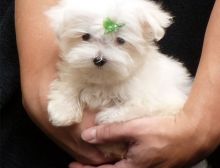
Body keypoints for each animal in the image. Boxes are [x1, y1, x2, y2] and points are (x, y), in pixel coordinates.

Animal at [46, 0, 208, 167]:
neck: (104, 79)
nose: (99, 60)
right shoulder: (74, 73)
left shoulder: (166, 103)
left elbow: (138, 107)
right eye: (85, 36)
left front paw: (107, 117)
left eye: (121, 41)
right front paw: (62, 111)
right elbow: (68, 85)